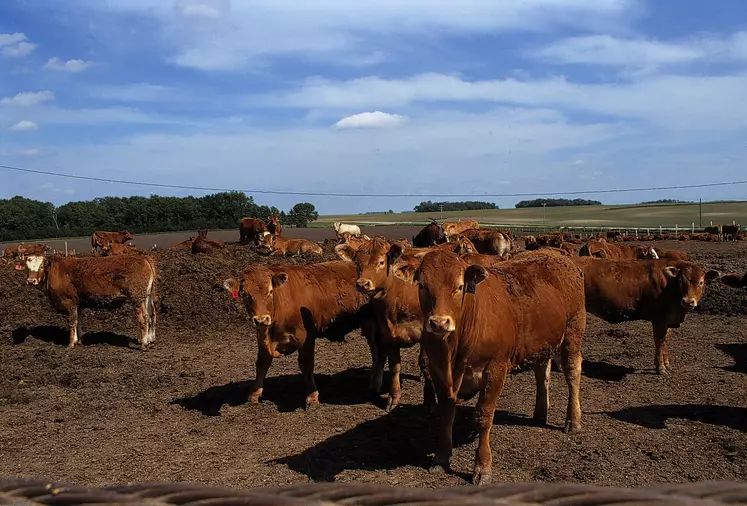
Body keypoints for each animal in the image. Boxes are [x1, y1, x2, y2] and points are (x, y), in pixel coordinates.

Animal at [16, 255, 156, 350]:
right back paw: (150, 340)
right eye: (27, 268)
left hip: (137, 299)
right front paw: (79, 340)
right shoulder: (79, 304)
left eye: (41, 266)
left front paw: (71, 343)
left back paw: (144, 343)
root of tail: (143, 258)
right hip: (146, 298)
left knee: (144, 318)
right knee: (152, 316)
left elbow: (72, 322)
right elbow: (78, 321)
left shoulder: (70, 302)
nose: (31, 281)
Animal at [221, 260, 374, 408]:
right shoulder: (261, 335)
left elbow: (306, 364)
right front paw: (254, 394)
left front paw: (312, 396)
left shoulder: (306, 337)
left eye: (270, 291)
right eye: (244, 294)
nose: (261, 319)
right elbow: (262, 362)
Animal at [336, 240, 436, 412]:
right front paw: (393, 397)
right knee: (378, 356)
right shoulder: (387, 334)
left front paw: (429, 399)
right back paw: (374, 386)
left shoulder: (425, 333)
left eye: (381, 262)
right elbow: (393, 364)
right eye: (358, 263)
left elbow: (425, 362)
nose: (362, 284)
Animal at [412, 251, 588, 484]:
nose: (439, 323)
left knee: (572, 372)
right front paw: (441, 457)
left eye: (460, 286)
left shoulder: (495, 368)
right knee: (542, 372)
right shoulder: (438, 370)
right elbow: (446, 412)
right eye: (422, 285)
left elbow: (484, 415)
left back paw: (573, 420)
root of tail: (557, 256)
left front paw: (482, 467)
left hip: (573, 332)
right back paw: (540, 413)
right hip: (541, 343)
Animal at [572, 256, 720, 376]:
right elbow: (659, 341)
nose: (688, 301)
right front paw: (661, 368)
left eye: (701, 282)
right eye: (680, 281)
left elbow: (666, 340)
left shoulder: (668, 319)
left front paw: (666, 364)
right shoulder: (659, 319)